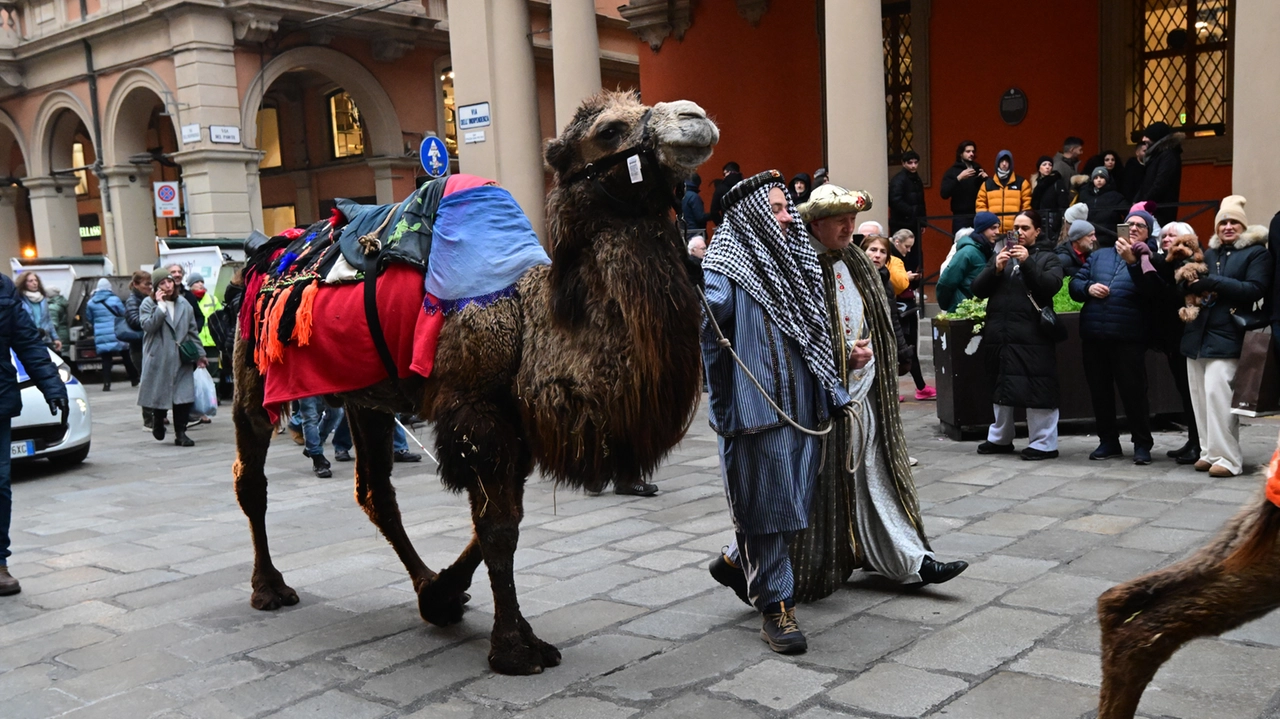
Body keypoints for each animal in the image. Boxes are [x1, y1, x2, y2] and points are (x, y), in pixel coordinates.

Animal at [231, 92, 721, 675]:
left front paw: (444, 597)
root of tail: (267, 249)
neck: (530, 319)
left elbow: (503, 521)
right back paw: (268, 588)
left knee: (375, 492)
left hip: (366, 394)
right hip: (251, 365)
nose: (695, 117)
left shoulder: (514, 424)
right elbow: (498, 528)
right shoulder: (476, 413)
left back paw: (423, 583)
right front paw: (514, 648)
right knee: (251, 476)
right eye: (609, 130)